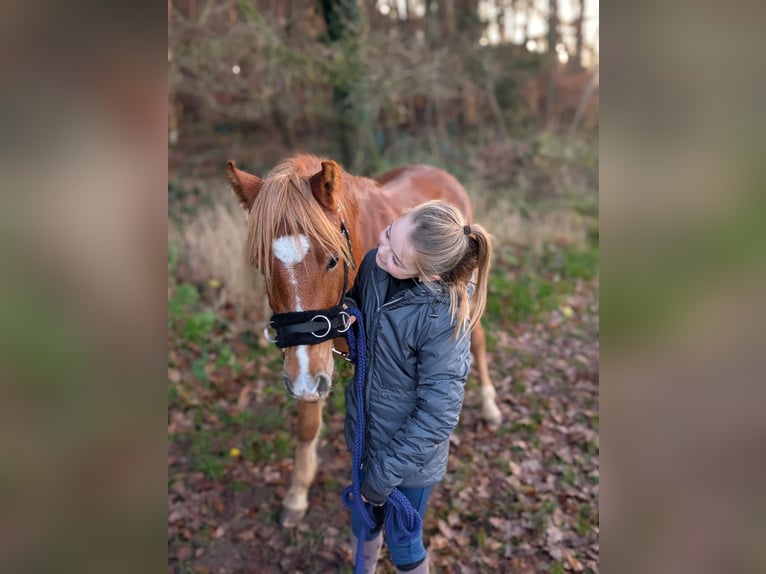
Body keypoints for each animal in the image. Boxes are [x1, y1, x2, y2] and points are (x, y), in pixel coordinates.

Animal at [226, 154, 501, 527]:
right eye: (261, 265)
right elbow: (308, 425)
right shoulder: (311, 357)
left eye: (332, 259)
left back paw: (489, 405)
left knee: (479, 341)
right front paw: (297, 495)